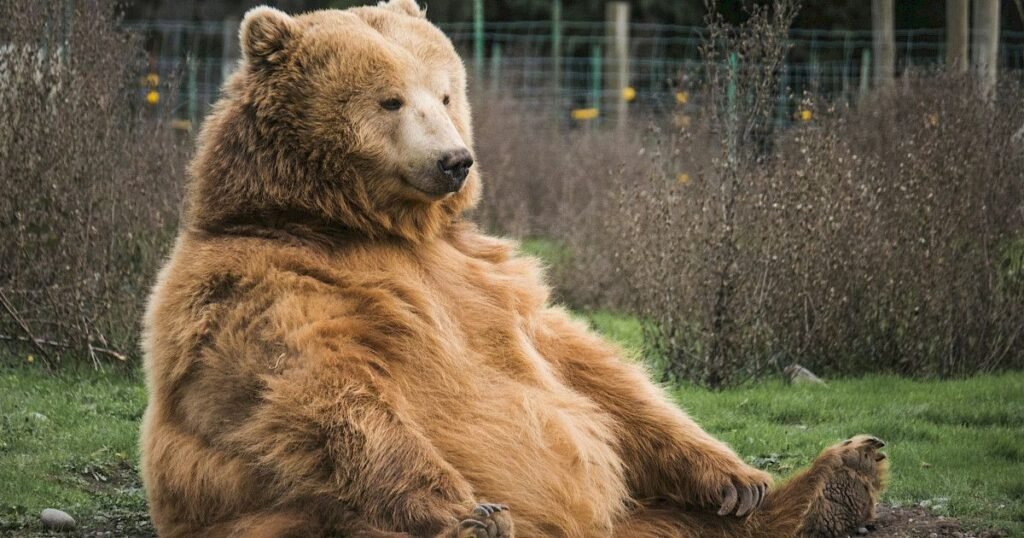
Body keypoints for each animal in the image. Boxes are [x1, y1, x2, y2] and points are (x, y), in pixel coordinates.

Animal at [139, 1, 888, 536]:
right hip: (278, 517)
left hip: (643, 519)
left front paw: (736, 477)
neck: (359, 223)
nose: (455, 160)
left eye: (444, 93)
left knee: (687, 521)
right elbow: (321, 391)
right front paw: (465, 513)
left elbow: (588, 367)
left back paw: (839, 478)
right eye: (388, 99)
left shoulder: (485, 275)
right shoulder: (264, 284)